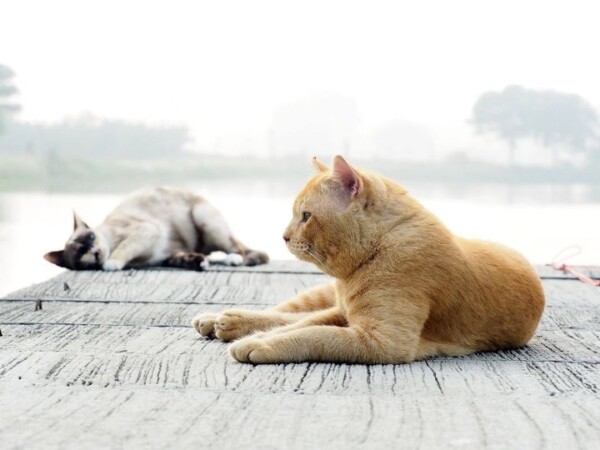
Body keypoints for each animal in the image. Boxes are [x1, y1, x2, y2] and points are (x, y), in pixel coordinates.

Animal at [44, 186, 269, 271]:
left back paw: (233, 259)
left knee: (245, 251)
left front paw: (111, 263)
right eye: (80, 253)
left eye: (91, 237)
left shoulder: (145, 231)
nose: (96, 252)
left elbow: (123, 249)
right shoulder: (165, 252)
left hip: (204, 219)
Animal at [192, 155, 545, 364]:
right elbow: (303, 325)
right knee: (287, 312)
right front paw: (255, 336)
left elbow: (314, 334)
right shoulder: (346, 315)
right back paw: (221, 319)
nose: (284, 236)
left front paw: (260, 343)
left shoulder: (381, 340)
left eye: (305, 216)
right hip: (321, 296)